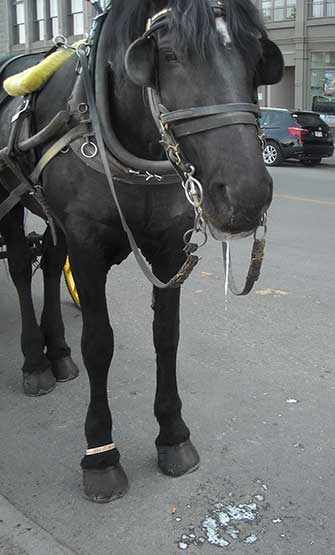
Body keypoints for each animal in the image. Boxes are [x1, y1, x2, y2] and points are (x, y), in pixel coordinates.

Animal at [0, 0, 284, 504]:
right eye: (169, 55)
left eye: (256, 57)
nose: (248, 196)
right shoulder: (87, 246)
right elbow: (99, 343)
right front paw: (100, 454)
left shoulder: (169, 249)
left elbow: (166, 338)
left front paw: (173, 434)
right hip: (12, 201)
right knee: (18, 266)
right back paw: (35, 362)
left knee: (50, 265)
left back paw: (58, 354)